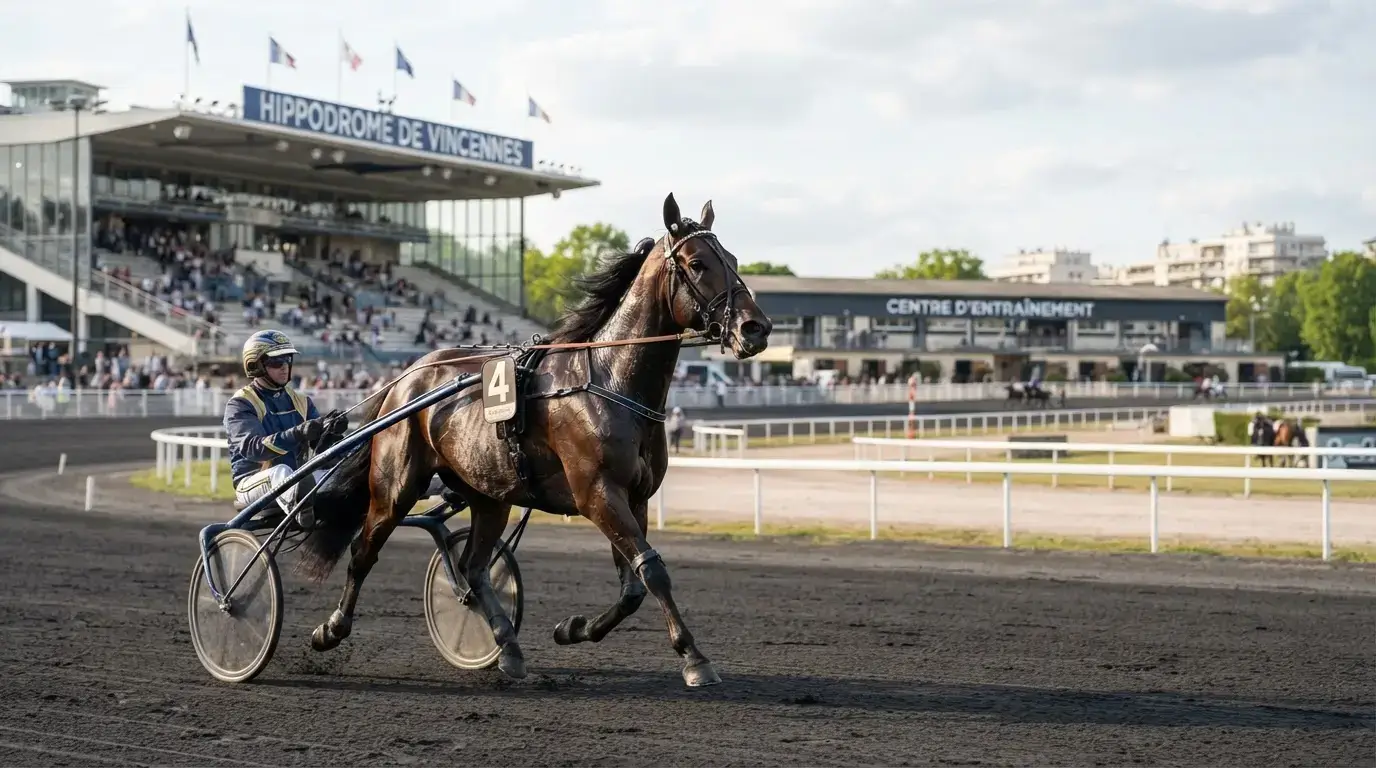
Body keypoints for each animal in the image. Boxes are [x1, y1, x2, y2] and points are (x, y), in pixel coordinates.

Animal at [296, 193, 772, 688]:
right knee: (364, 550)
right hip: (396, 486)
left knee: (473, 569)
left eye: (734, 260)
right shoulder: (598, 494)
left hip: (489, 494)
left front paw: (574, 628)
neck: (610, 380)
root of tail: (406, 378)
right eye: (697, 264)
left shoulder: (635, 497)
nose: (756, 328)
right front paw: (695, 658)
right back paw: (330, 629)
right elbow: (653, 571)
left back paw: (507, 647)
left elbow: (632, 588)